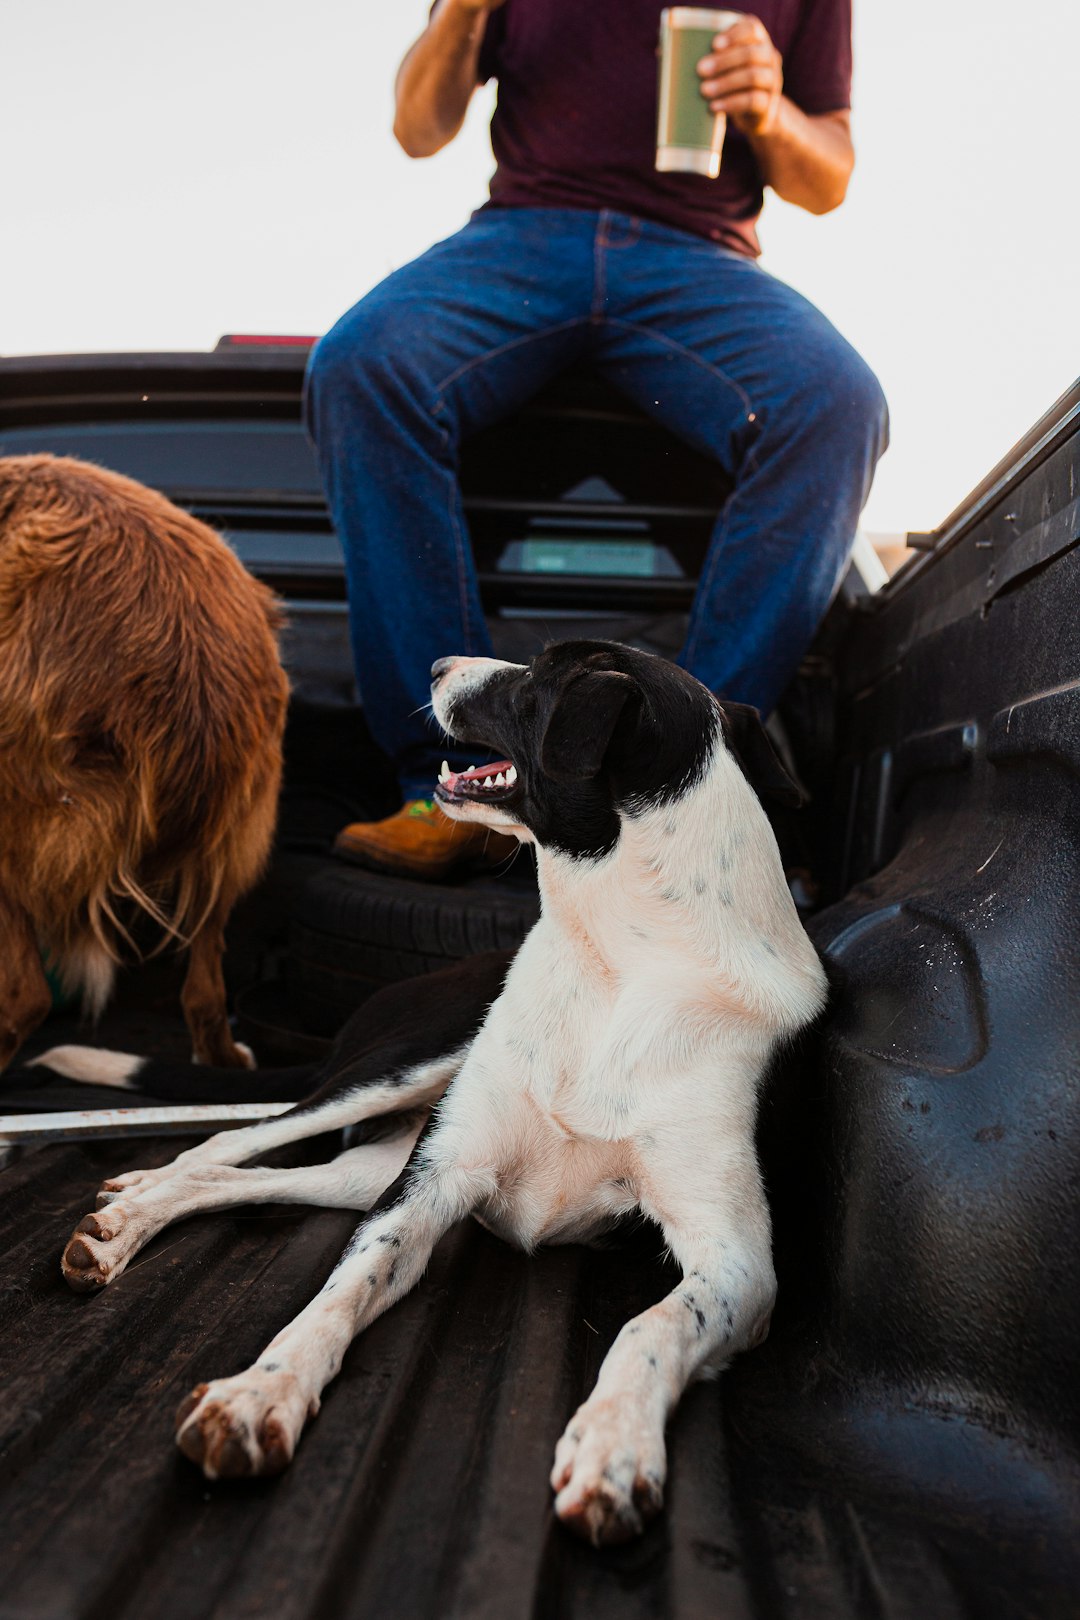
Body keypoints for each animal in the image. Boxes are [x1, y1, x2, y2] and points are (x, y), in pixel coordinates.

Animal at [48, 641, 829, 1542]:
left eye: (539, 676)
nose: (438, 663)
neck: (619, 958)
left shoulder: (737, 1261)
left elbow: (652, 1325)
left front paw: (614, 1443)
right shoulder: (430, 1183)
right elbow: (334, 1298)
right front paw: (258, 1392)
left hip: (370, 1166)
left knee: (244, 1173)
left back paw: (125, 1219)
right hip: (398, 1073)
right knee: (228, 1138)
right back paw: (133, 1208)